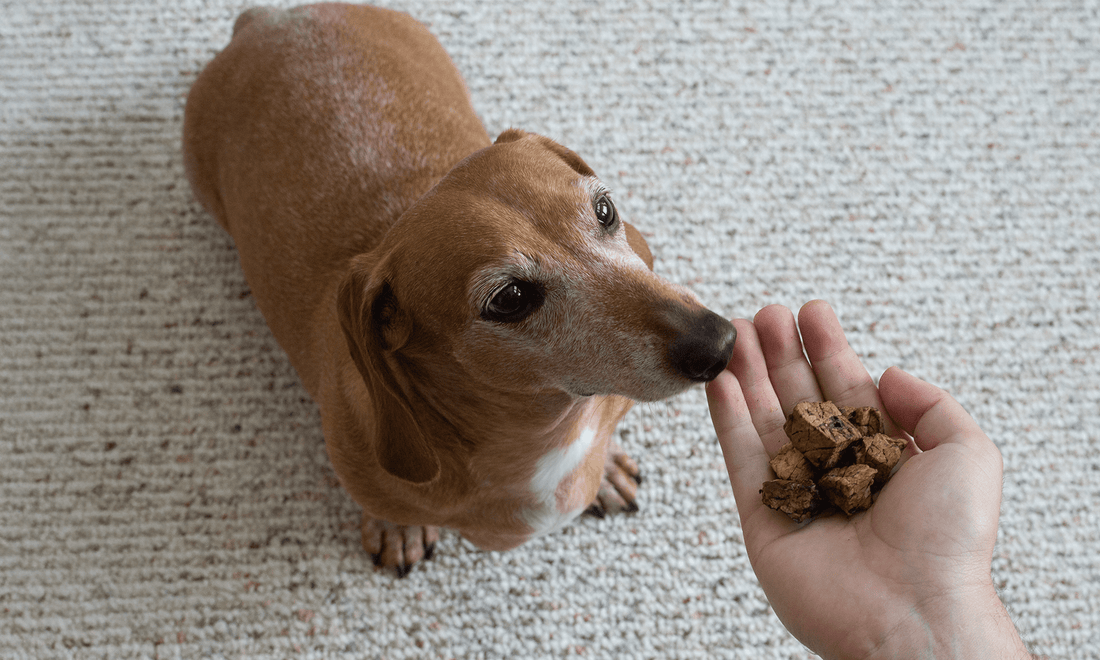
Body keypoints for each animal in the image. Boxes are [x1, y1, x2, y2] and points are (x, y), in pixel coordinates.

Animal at [184, 2, 734, 576]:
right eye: (510, 298)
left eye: (604, 210)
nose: (718, 343)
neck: (545, 432)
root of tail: (266, 20)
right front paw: (396, 528)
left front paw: (605, 469)